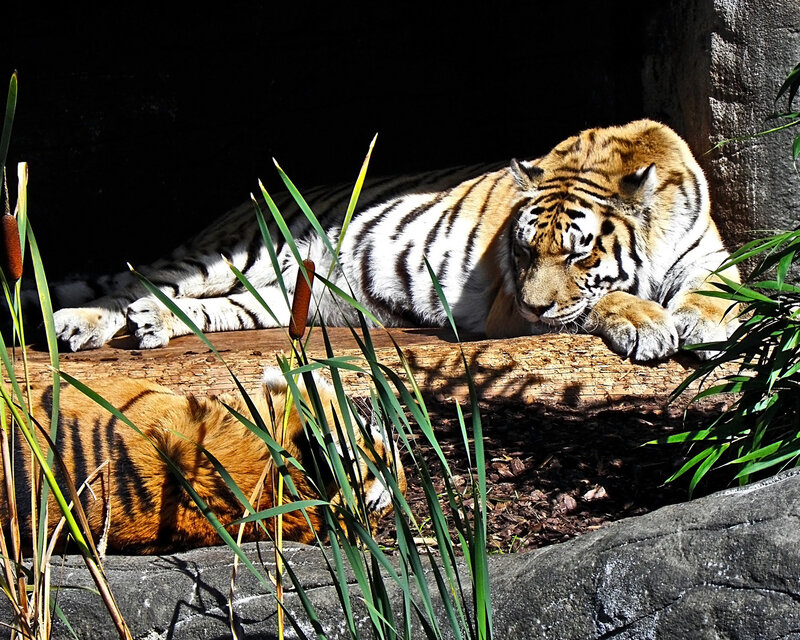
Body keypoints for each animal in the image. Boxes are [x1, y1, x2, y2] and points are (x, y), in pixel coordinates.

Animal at [46, 119, 739, 361]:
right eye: (523, 252)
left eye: (579, 251)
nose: (537, 302)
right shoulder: (509, 306)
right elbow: (600, 301)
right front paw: (647, 323)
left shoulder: (708, 254)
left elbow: (720, 290)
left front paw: (700, 320)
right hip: (225, 256)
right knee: (137, 283)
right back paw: (78, 324)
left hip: (276, 296)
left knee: (193, 307)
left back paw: (151, 325)